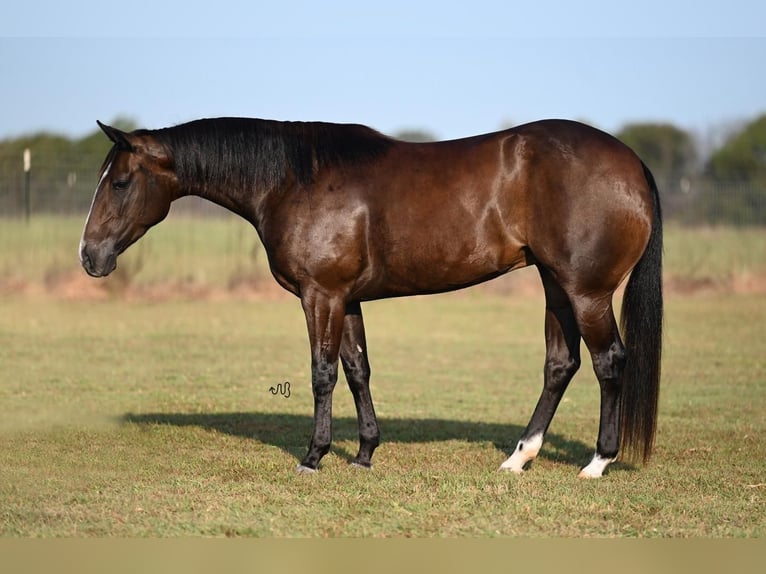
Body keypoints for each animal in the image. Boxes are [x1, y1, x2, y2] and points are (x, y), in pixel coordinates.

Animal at [79, 116, 664, 476]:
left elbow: (322, 373)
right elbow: (358, 369)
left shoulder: (320, 295)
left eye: (120, 182)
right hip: (554, 284)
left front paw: (314, 456)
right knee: (560, 364)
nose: (90, 256)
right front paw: (363, 454)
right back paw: (519, 458)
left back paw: (597, 462)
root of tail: (631, 162)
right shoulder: (347, 299)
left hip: (586, 291)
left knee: (609, 361)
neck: (292, 180)